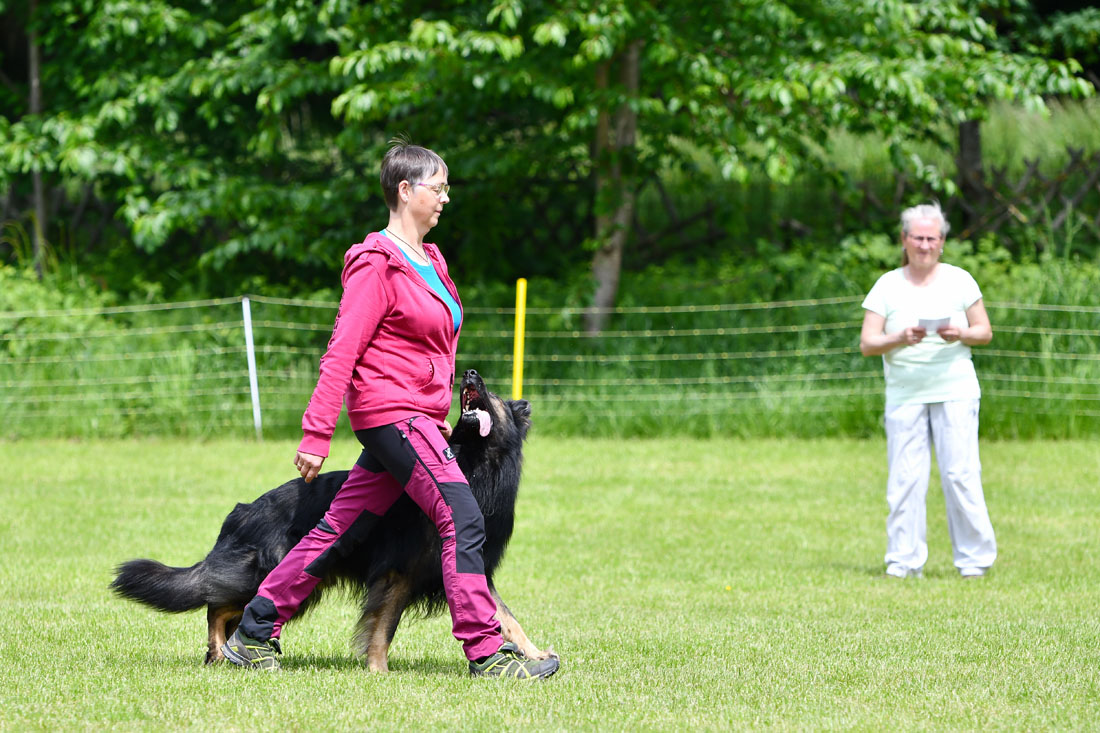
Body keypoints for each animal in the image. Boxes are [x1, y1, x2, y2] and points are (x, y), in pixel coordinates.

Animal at [113, 367, 550, 669]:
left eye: (494, 394)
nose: (470, 373)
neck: (474, 464)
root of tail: (243, 510)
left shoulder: (468, 569)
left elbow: (507, 617)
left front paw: (533, 653)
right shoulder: (397, 573)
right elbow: (383, 626)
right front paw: (377, 671)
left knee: (225, 606)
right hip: (279, 574)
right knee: (216, 604)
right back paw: (221, 651)